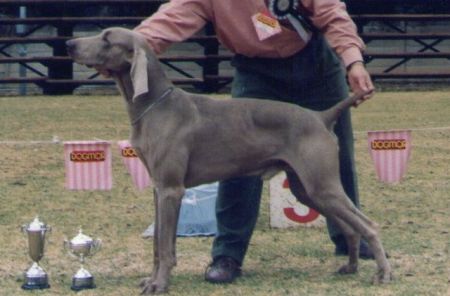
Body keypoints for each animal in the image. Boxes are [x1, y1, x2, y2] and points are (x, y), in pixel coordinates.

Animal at [65, 27, 392, 294]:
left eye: (107, 39)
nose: (69, 43)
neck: (155, 106)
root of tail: (321, 116)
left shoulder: (171, 189)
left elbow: (166, 247)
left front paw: (160, 284)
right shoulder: (158, 189)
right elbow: (159, 244)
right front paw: (152, 279)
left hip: (322, 184)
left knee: (369, 225)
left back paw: (383, 273)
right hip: (306, 189)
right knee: (351, 228)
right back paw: (351, 267)